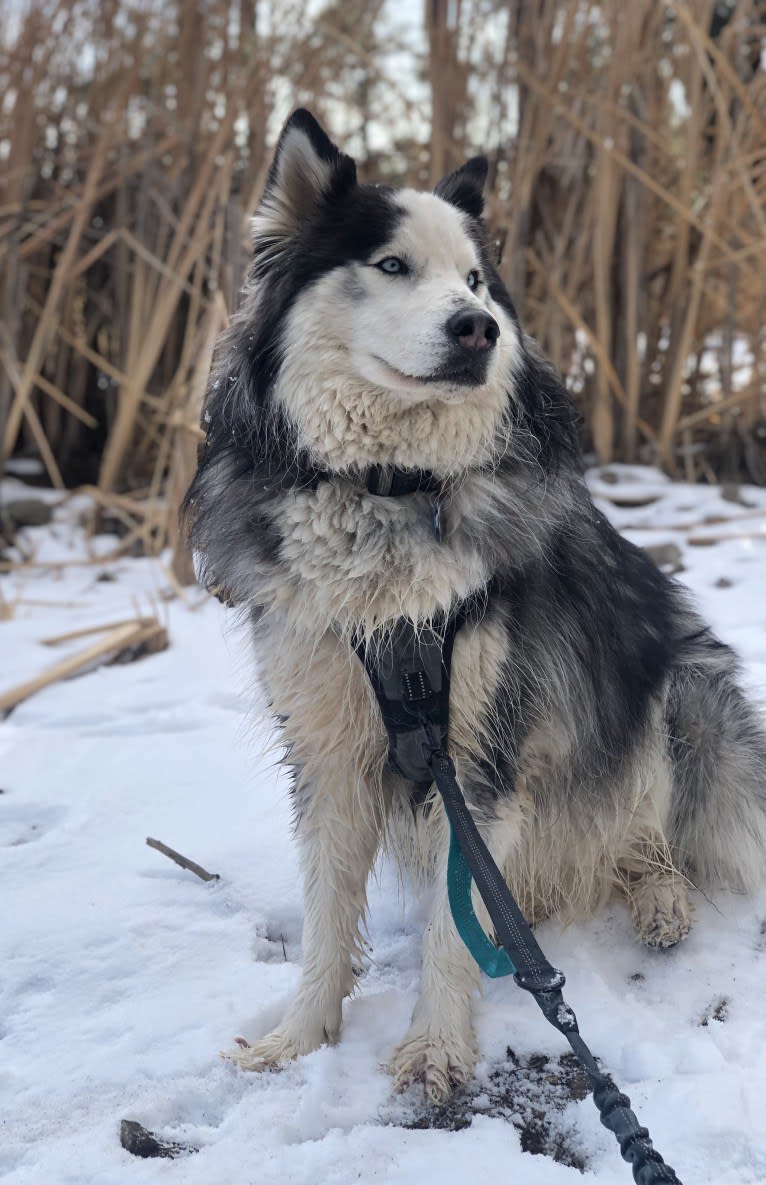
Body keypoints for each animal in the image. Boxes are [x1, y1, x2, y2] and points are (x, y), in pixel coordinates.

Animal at [182, 109, 766, 1099]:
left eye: (476, 280)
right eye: (391, 265)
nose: (478, 329)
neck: (390, 488)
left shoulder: (487, 742)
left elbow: (458, 923)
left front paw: (435, 1048)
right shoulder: (330, 738)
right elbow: (329, 912)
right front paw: (299, 1039)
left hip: (680, 696)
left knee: (654, 835)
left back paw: (661, 899)